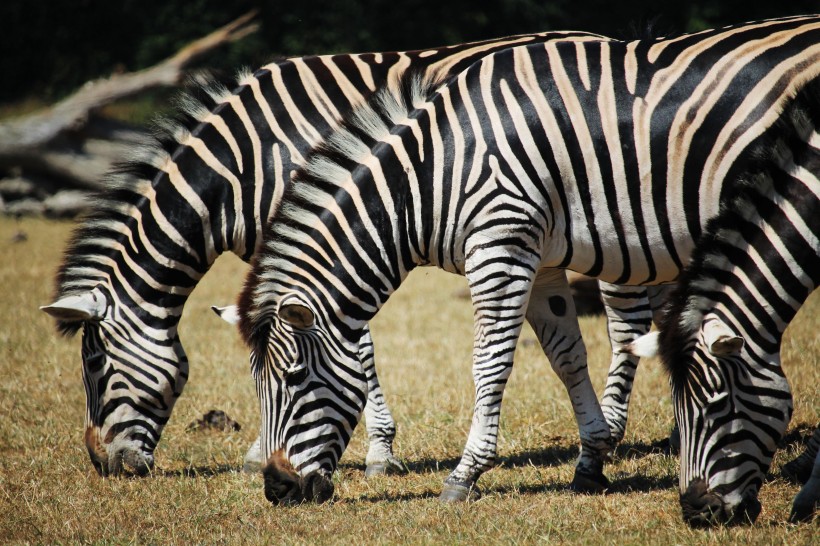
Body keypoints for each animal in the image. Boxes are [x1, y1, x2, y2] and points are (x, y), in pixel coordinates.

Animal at [38, 27, 640, 474]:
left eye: (95, 365)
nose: (101, 466)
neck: (246, 165)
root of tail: (597, 35)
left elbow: (355, 351)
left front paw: (375, 453)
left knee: (626, 321)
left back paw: (613, 432)